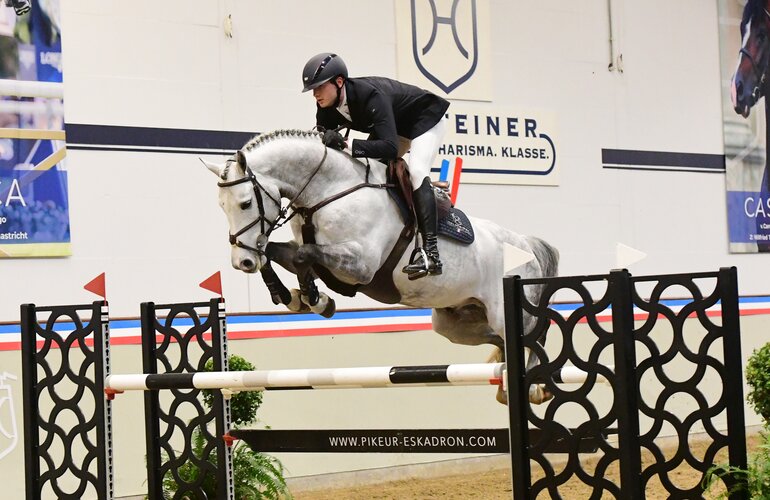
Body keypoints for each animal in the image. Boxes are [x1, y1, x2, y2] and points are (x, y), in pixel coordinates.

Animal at [203, 129, 559, 404]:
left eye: (245, 203)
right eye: (220, 206)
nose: (241, 262)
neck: (329, 191)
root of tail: (526, 244)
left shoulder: (360, 266)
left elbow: (302, 255)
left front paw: (313, 299)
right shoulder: (322, 259)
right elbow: (280, 252)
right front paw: (296, 297)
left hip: (503, 310)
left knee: (529, 336)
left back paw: (535, 389)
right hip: (454, 323)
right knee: (504, 341)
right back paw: (510, 381)